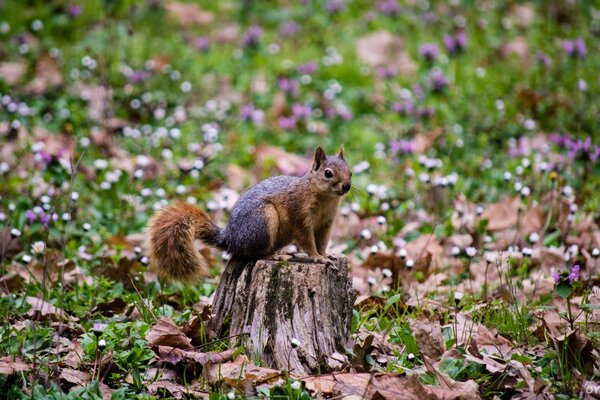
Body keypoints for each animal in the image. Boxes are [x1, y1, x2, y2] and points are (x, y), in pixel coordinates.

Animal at [146, 146, 352, 282]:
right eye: (328, 173)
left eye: (350, 171)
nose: (347, 186)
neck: (325, 199)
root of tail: (231, 238)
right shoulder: (299, 214)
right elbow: (307, 240)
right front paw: (317, 257)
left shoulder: (326, 223)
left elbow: (322, 241)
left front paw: (326, 255)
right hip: (263, 220)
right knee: (254, 254)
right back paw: (275, 256)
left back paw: (282, 252)